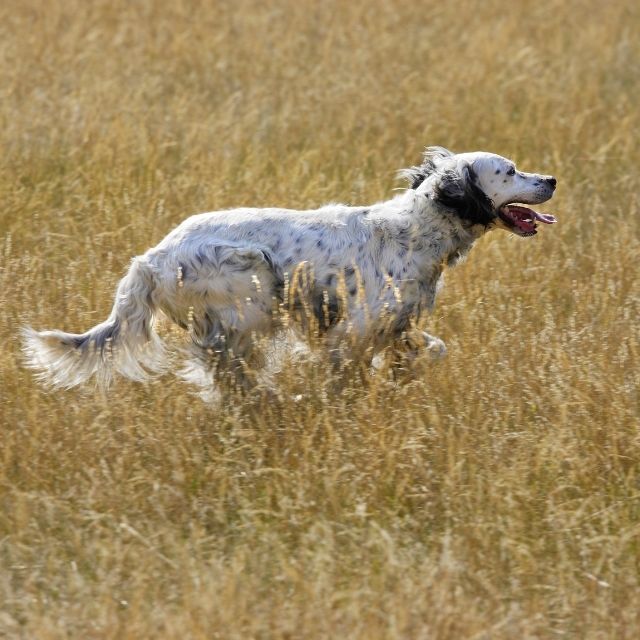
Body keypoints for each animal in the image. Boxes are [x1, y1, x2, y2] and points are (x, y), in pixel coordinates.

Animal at [22, 148, 556, 392]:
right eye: (509, 171)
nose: (551, 179)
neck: (416, 229)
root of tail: (150, 259)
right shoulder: (351, 331)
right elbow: (345, 374)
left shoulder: (396, 324)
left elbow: (431, 349)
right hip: (252, 288)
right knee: (226, 369)